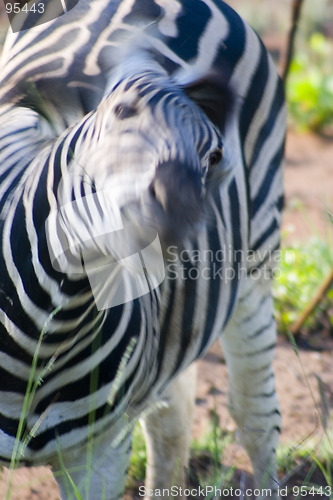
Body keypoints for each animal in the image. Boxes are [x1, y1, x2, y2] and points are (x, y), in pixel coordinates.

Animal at [0, 0, 286, 498]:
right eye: (122, 112)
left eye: (214, 157)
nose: (178, 205)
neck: (45, 327)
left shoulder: (100, 456)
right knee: (172, 420)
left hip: (257, 265)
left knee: (256, 417)